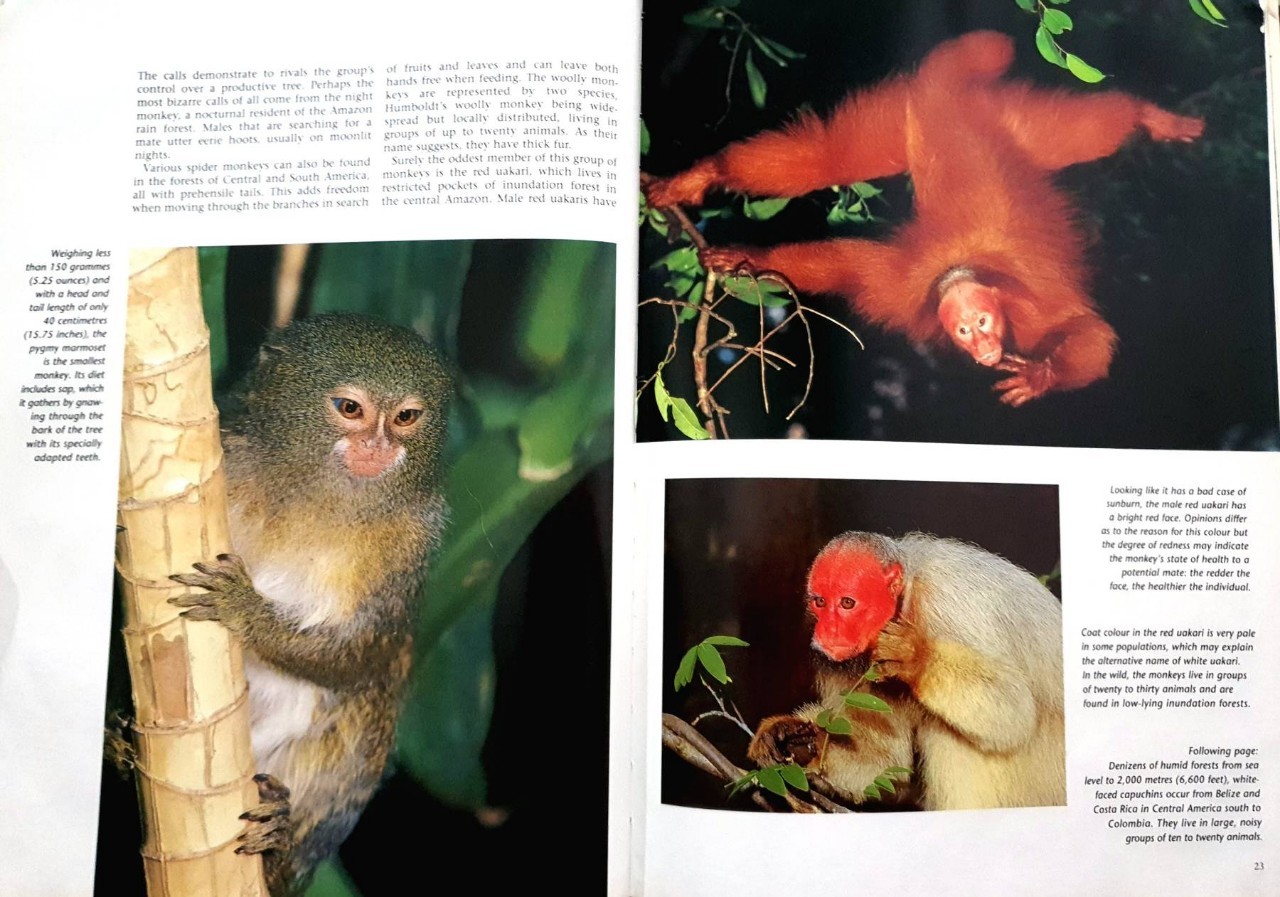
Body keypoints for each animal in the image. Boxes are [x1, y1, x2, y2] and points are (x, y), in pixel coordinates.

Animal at [167, 313, 451, 895]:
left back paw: (278, 845)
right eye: (350, 409)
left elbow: (362, 656)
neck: (315, 502)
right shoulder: (227, 454)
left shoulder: (413, 543)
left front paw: (245, 610)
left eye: (406, 417)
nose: (379, 447)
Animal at [646, 31, 1204, 405]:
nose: (984, 347)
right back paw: (701, 175)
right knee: (826, 160)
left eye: (983, 322)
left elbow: (1089, 333)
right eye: (963, 331)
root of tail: (943, 97)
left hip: (1009, 122)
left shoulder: (1032, 311)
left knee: (1091, 133)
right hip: (897, 117)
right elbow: (835, 263)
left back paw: (1147, 115)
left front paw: (1042, 375)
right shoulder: (897, 286)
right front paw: (746, 255)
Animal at [747, 531, 1065, 810]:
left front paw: (916, 660)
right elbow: (884, 763)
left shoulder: (953, 603)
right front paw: (790, 737)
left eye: (847, 603)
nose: (827, 631)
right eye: (820, 602)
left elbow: (1012, 709)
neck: (906, 601)